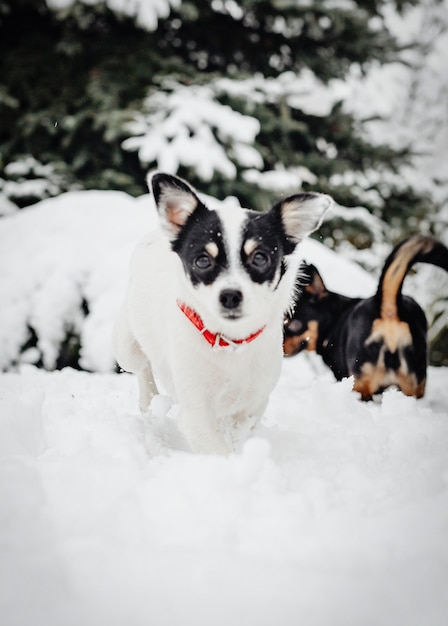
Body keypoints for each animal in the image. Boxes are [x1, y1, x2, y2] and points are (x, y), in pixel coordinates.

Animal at [114, 173, 330, 450]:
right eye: (202, 261)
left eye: (260, 258)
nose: (230, 295)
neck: (230, 341)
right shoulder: (196, 411)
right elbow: (219, 449)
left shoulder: (252, 405)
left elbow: (238, 436)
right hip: (126, 347)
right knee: (142, 368)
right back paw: (149, 400)